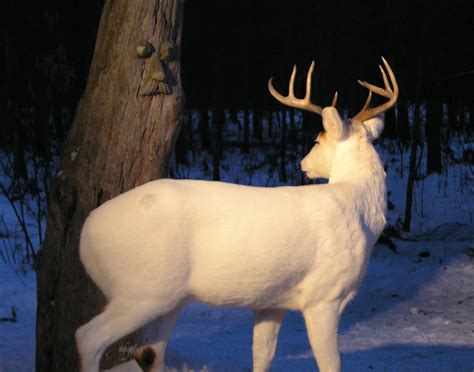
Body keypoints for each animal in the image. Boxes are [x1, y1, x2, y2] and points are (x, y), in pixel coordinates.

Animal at [76, 58, 398, 372]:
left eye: (317, 140)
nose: (303, 163)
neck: (358, 207)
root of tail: (85, 235)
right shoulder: (323, 296)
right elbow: (331, 364)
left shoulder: (273, 301)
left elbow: (262, 357)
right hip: (143, 289)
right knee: (88, 337)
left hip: (168, 297)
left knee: (151, 354)